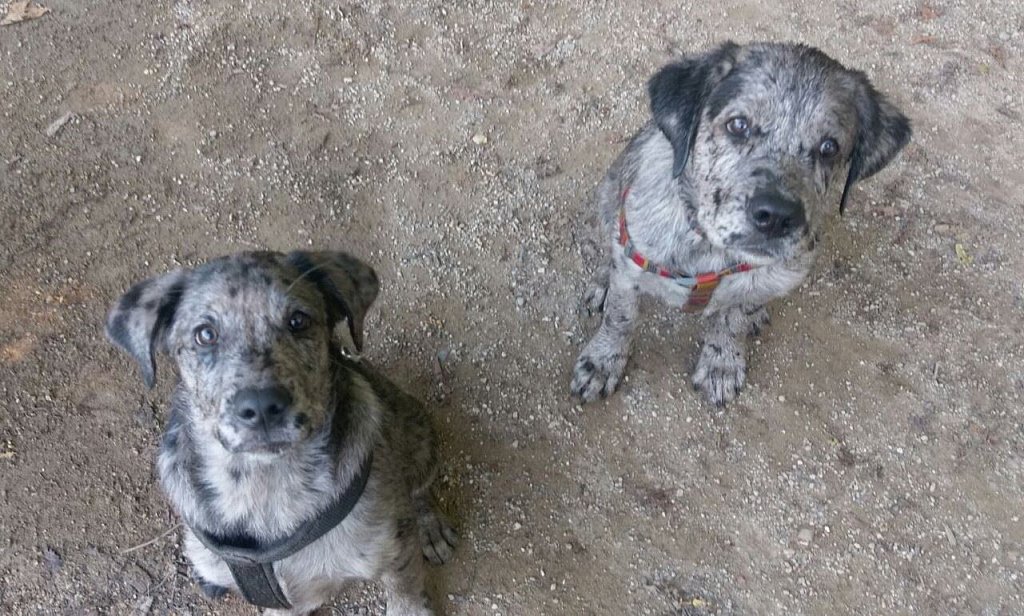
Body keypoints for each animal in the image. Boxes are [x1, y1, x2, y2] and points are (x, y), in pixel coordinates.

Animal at [104, 250, 456, 613]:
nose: (261, 407)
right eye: (205, 334)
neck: (263, 485)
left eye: (298, 321)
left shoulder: (393, 551)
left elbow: (405, 595)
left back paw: (432, 529)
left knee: (419, 490)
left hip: (419, 439)